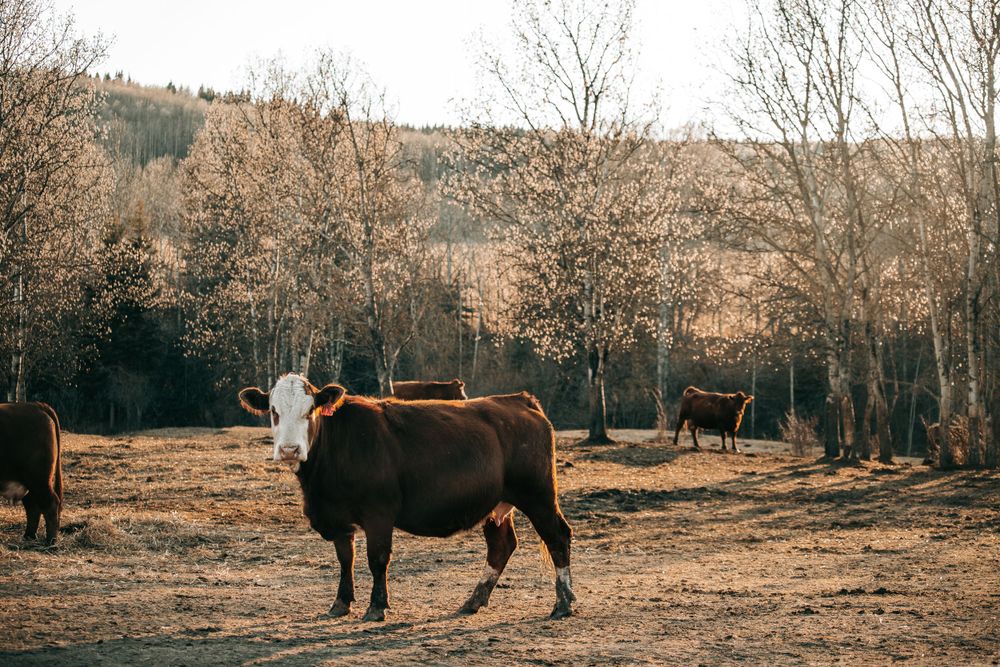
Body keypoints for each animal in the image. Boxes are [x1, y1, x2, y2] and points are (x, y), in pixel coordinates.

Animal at [0, 402, 63, 544]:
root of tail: (33, 405)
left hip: (38, 479)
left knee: (50, 504)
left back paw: (50, 541)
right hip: (29, 482)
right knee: (33, 506)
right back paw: (29, 536)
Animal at [238, 373, 574, 622]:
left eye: (310, 411)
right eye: (273, 412)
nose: (289, 450)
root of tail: (519, 400)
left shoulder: (379, 513)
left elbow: (377, 559)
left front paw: (376, 607)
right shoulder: (338, 517)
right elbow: (346, 559)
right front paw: (340, 603)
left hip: (538, 495)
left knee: (557, 536)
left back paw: (563, 603)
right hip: (496, 504)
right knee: (501, 546)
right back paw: (474, 600)